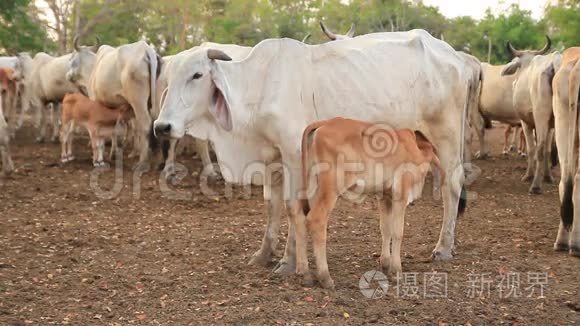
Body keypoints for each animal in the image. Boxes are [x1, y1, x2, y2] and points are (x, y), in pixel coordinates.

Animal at [292, 117, 446, 288]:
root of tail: (323, 123)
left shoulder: (385, 196)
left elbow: (385, 229)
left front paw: (385, 264)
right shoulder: (400, 194)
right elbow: (397, 232)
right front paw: (396, 271)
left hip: (310, 185)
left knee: (298, 215)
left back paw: (304, 272)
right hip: (330, 188)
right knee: (316, 219)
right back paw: (325, 277)